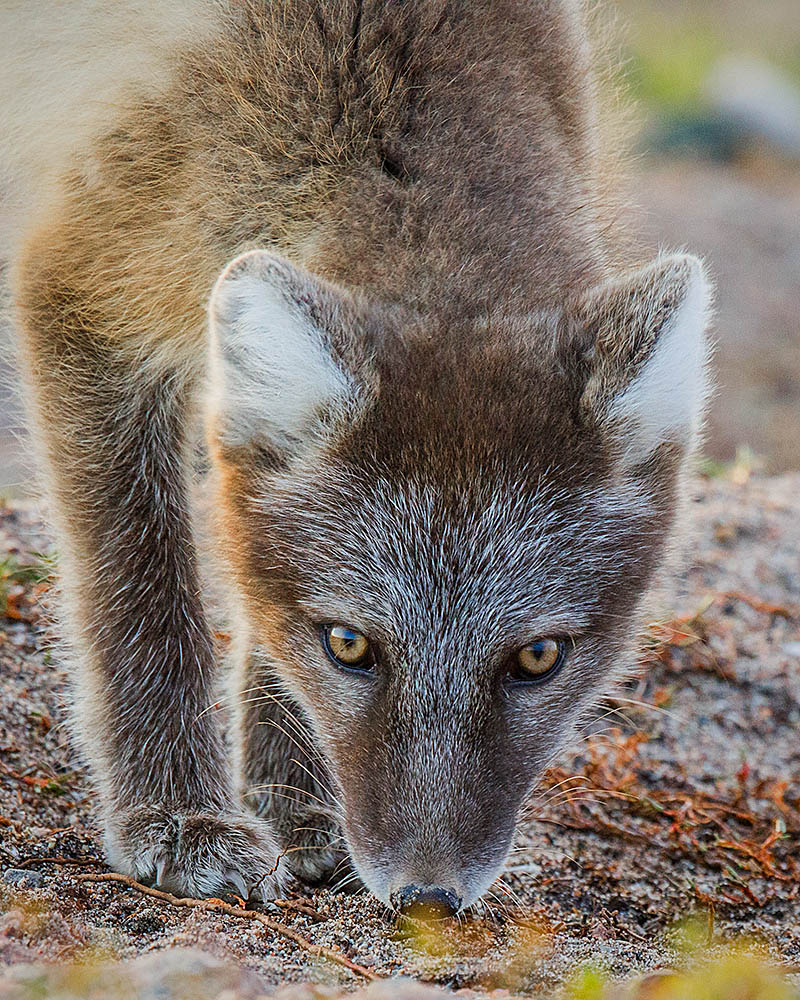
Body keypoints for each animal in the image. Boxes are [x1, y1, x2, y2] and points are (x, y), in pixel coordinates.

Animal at [3, 0, 708, 916]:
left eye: (538, 658)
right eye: (349, 646)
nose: (428, 897)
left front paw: (293, 802)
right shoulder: (82, 285)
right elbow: (137, 588)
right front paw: (181, 818)